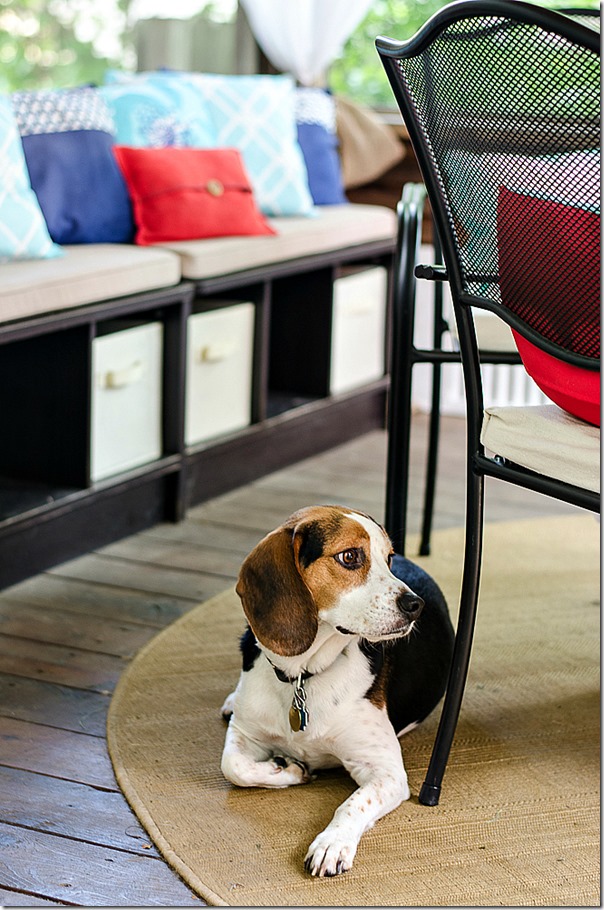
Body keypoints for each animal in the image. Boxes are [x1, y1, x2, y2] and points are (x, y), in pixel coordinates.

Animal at [221, 506, 452, 876]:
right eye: (350, 556)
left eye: (388, 558)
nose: (415, 605)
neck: (303, 675)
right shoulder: (245, 732)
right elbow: (234, 767)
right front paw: (288, 769)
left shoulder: (386, 771)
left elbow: (352, 804)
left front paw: (332, 843)